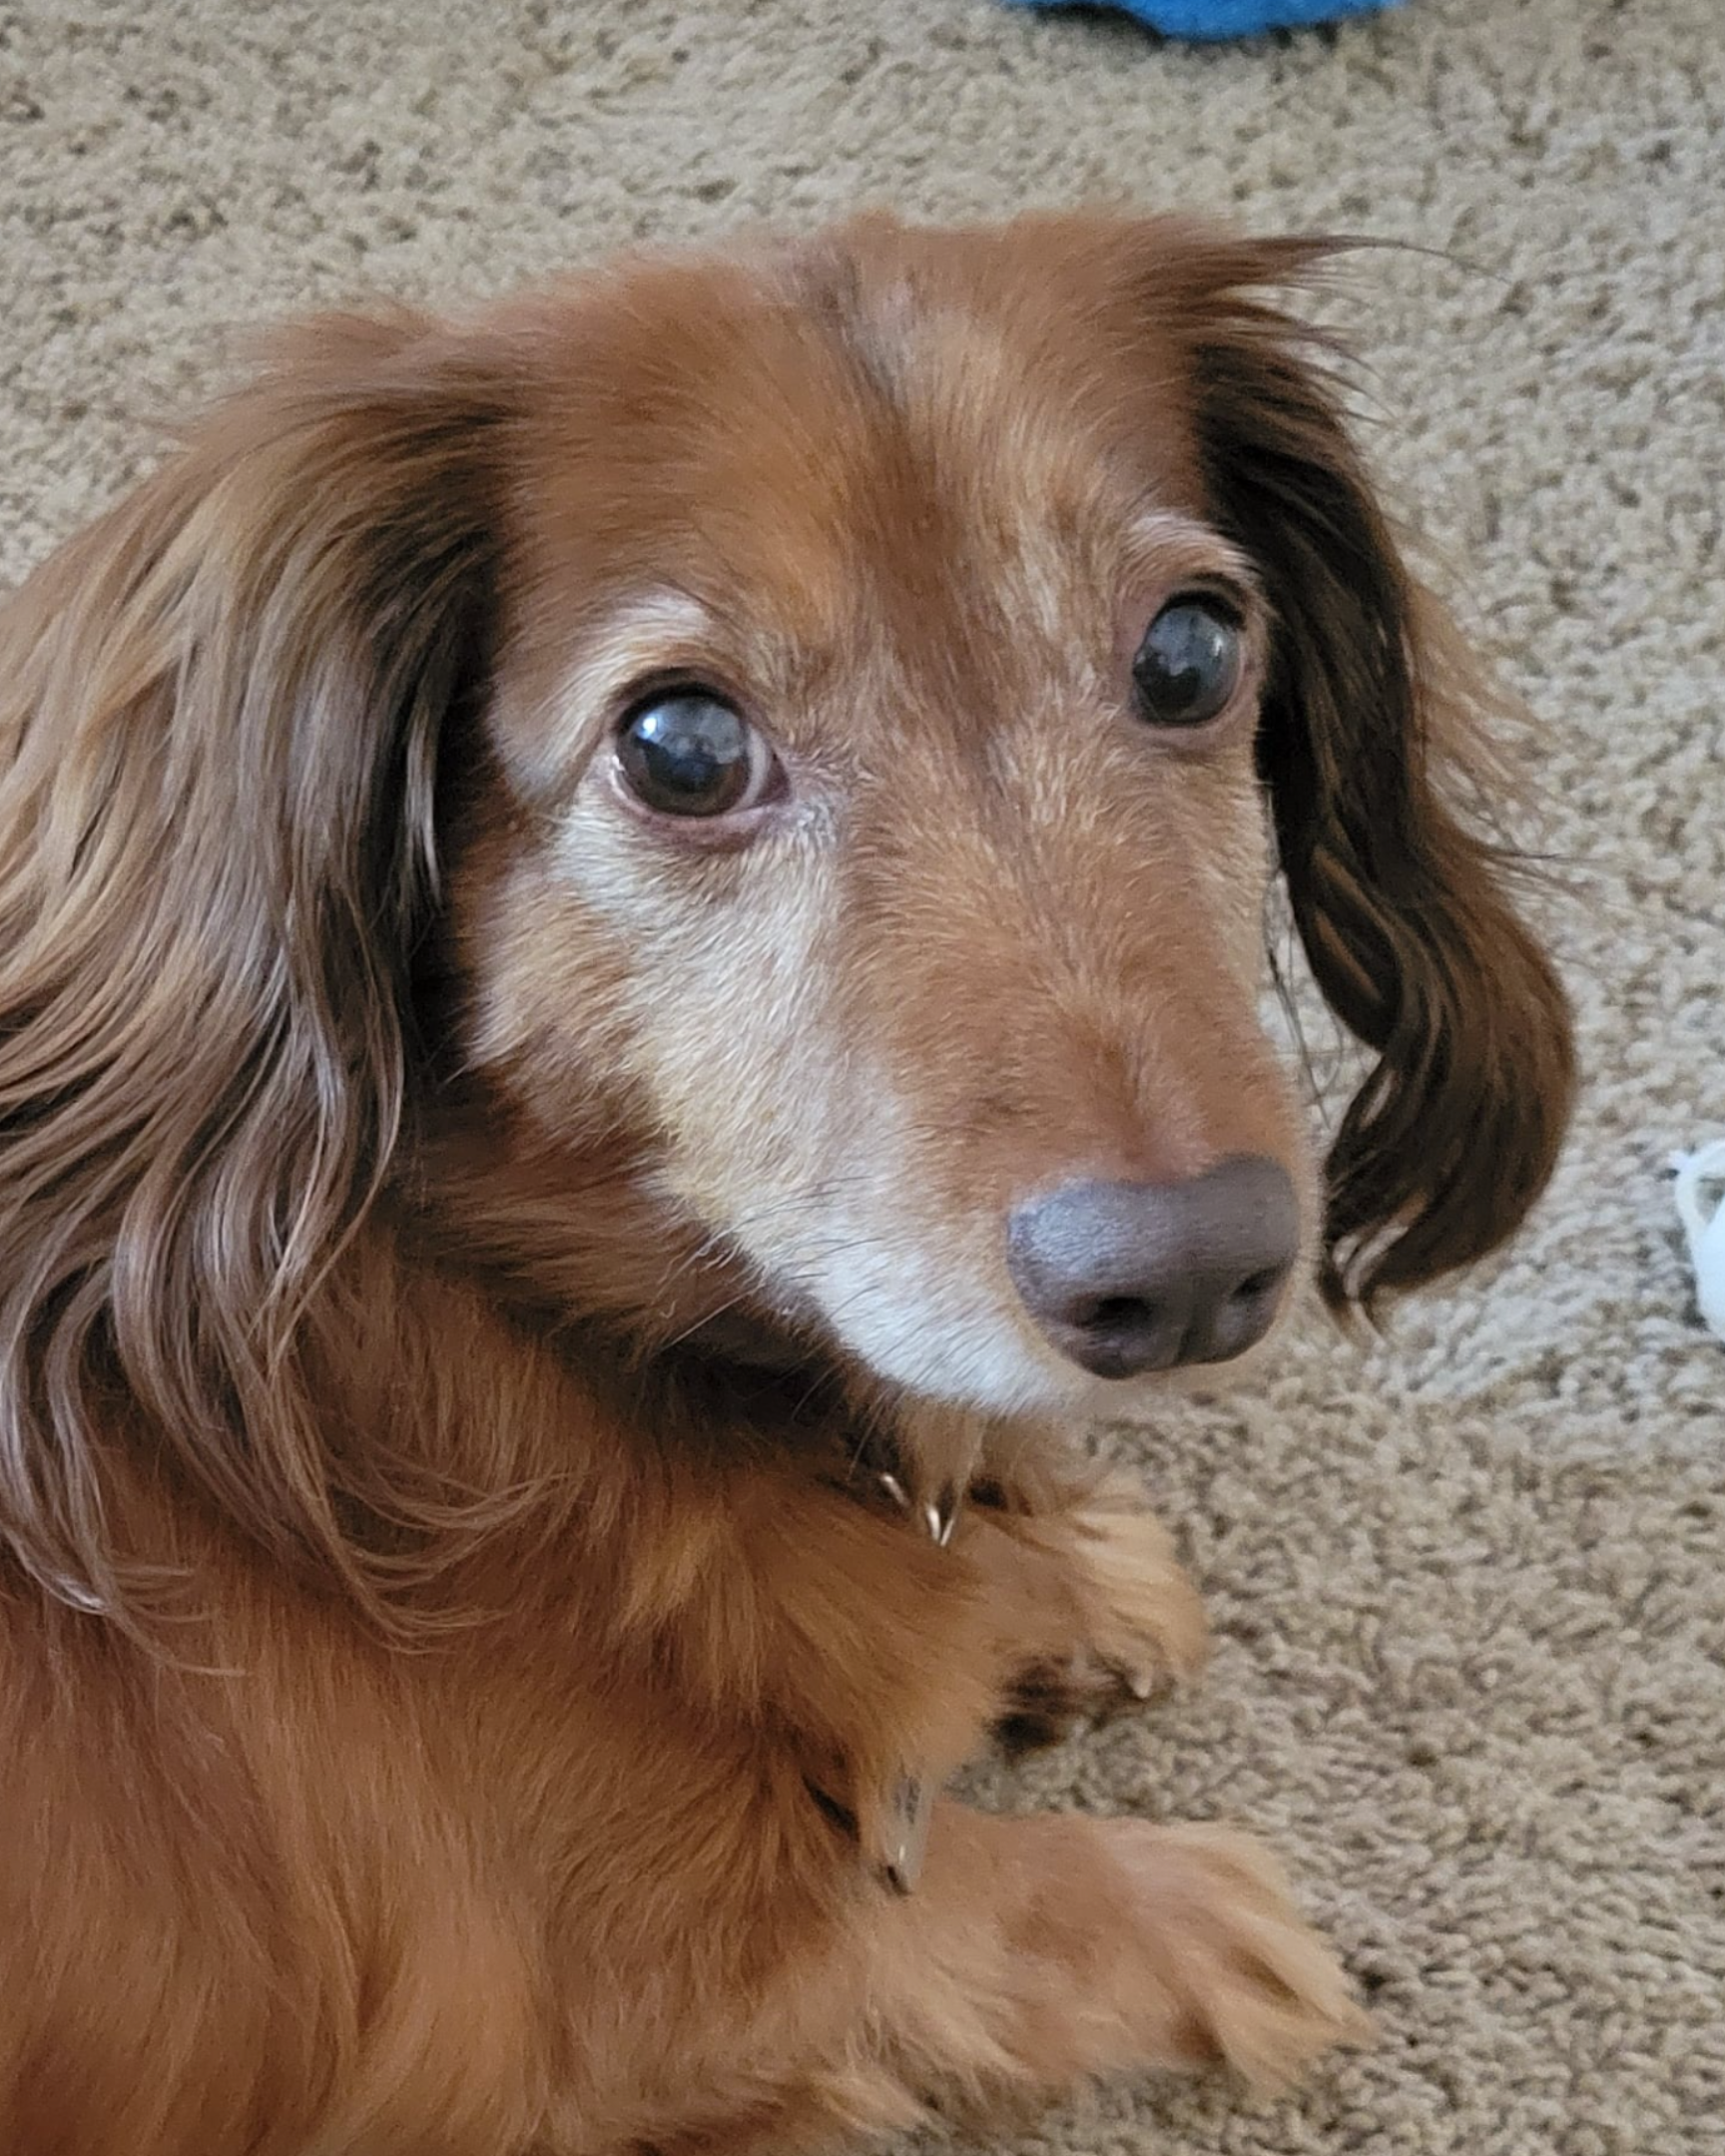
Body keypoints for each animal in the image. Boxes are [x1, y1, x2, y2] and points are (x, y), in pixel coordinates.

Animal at [0, 213, 1573, 2155]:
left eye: (1194, 650)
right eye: (679, 746)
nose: (1192, 1276)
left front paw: (1065, 1583)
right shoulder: (600, 2022)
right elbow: (948, 1905)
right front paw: (1189, 1908)